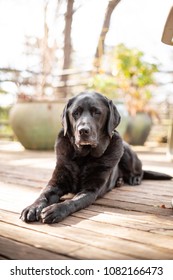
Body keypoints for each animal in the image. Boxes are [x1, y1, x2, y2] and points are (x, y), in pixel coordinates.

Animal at [20, 92, 172, 223]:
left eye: (97, 112)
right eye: (75, 113)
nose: (83, 131)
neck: (83, 157)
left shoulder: (91, 190)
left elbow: (73, 201)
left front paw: (56, 209)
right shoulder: (56, 183)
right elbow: (43, 195)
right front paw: (32, 208)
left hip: (126, 150)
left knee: (139, 170)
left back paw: (133, 178)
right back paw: (119, 181)